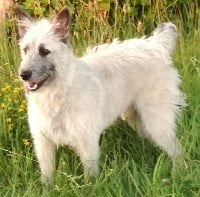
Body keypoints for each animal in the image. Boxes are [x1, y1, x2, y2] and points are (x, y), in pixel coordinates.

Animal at [16, 6, 184, 184]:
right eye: (25, 50)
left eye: (44, 51)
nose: (23, 75)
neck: (58, 94)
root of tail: (156, 45)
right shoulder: (43, 143)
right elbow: (47, 176)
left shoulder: (87, 142)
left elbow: (90, 178)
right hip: (137, 118)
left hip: (157, 120)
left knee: (177, 150)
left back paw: (177, 175)